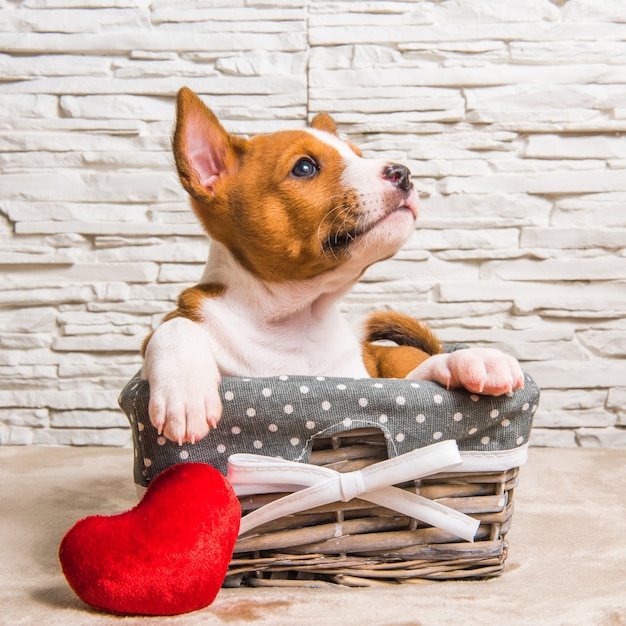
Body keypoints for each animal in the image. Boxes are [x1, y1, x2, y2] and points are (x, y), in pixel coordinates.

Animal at [143, 90, 520, 446]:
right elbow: (172, 327)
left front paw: (470, 359)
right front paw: (185, 390)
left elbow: (421, 375)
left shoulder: (371, 382)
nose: (403, 173)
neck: (296, 320)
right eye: (304, 167)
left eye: (357, 154)